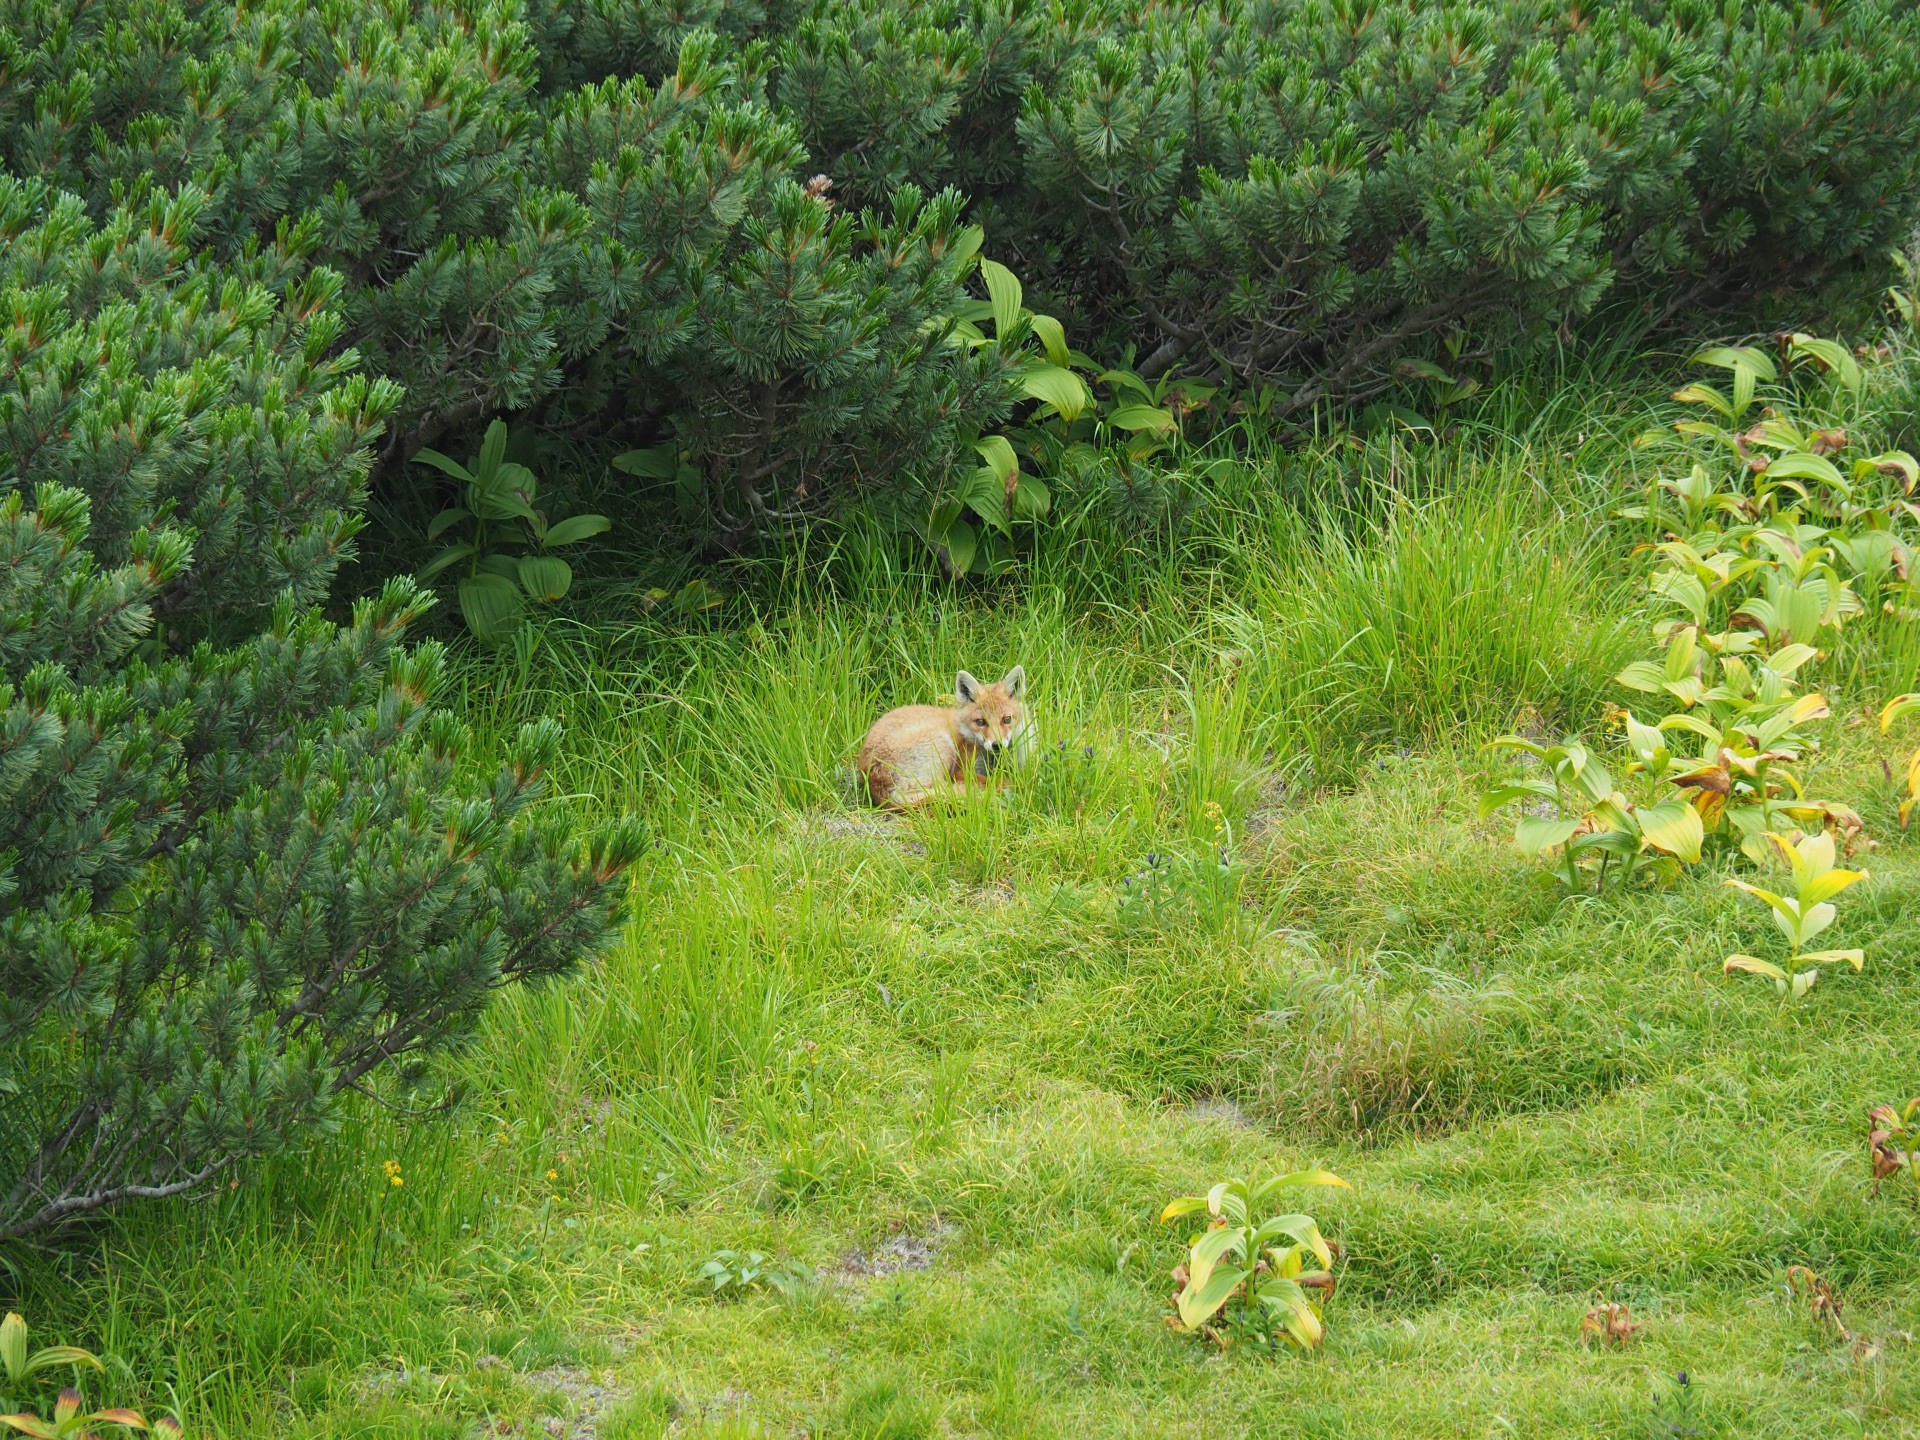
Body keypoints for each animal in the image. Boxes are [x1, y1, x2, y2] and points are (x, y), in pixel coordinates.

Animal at [864, 668, 1029, 814]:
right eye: (980, 722)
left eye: (1006, 719)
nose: (997, 745)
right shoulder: (961, 771)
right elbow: (1000, 781)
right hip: (944, 747)